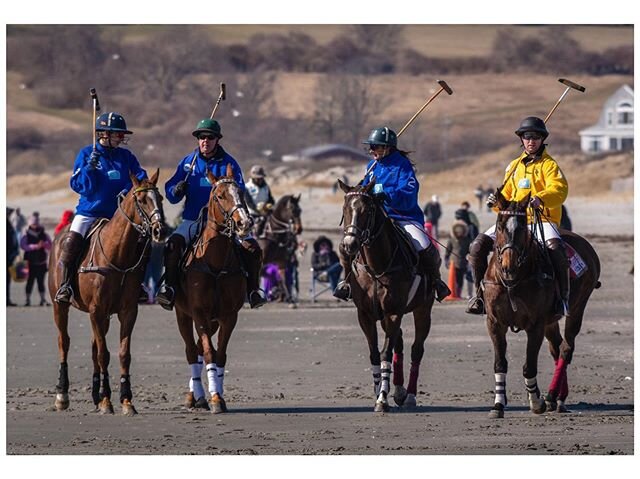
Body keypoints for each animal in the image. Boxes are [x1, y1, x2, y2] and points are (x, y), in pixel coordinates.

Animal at [49, 172, 166, 416]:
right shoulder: (97, 311)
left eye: (160, 197)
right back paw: (62, 395)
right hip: (60, 306)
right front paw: (107, 400)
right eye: (142, 200)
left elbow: (122, 354)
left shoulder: (126, 311)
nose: (161, 230)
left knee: (94, 347)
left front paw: (125, 400)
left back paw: (96, 395)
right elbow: (104, 354)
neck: (118, 256)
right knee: (64, 341)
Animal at [175, 163, 255, 414]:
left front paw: (217, 395)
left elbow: (220, 355)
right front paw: (214, 398)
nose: (244, 223)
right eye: (220, 196)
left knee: (199, 348)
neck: (216, 262)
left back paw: (198, 394)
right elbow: (209, 352)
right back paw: (195, 397)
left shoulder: (228, 315)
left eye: (241, 192)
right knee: (192, 350)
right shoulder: (199, 312)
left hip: (212, 321)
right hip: (183, 314)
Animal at [340, 180, 436, 412]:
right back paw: (399, 391)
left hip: (423, 310)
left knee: (416, 349)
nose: (349, 245)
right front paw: (378, 391)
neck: (376, 266)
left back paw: (410, 395)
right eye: (345, 210)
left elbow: (385, 353)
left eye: (367, 211)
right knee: (398, 343)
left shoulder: (393, 312)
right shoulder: (366, 315)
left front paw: (383, 398)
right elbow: (375, 353)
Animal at [484, 191, 600, 420]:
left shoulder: (535, 325)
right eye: (500, 226)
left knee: (566, 348)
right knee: (556, 347)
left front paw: (536, 402)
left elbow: (529, 366)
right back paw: (557, 399)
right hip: (550, 321)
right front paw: (498, 405)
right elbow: (500, 363)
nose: (509, 265)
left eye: (522, 227)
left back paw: (553, 396)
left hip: (576, 309)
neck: (514, 280)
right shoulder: (495, 323)